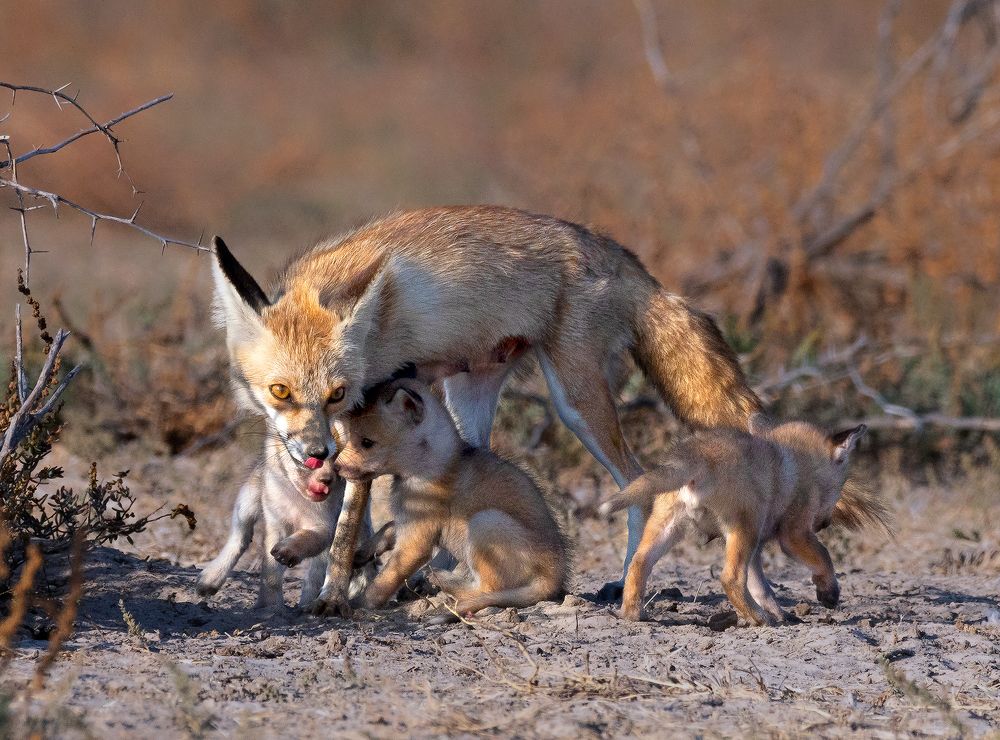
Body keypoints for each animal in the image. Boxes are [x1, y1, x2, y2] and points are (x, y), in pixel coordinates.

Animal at [332, 379, 570, 617]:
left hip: (485, 522)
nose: (335, 467)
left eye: (366, 442)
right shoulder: (408, 521)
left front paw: (358, 605)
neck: (428, 468)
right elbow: (387, 528)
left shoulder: (416, 543)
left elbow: (384, 581)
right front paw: (361, 553)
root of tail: (554, 577)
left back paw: (442, 581)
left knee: (487, 590)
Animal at [599, 418, 890, 625]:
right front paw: (828, 592)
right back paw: (757, 619)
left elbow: (762, 587)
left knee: (638, 563)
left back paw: (632, 614)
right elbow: (824, 558)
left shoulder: (758, 546)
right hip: (745, 527)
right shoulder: (793, 534)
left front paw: (781, 614)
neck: (798, 461)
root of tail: (697, 454)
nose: (825, 523)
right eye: (840, 487)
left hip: (668, 526)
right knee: (730, 578)